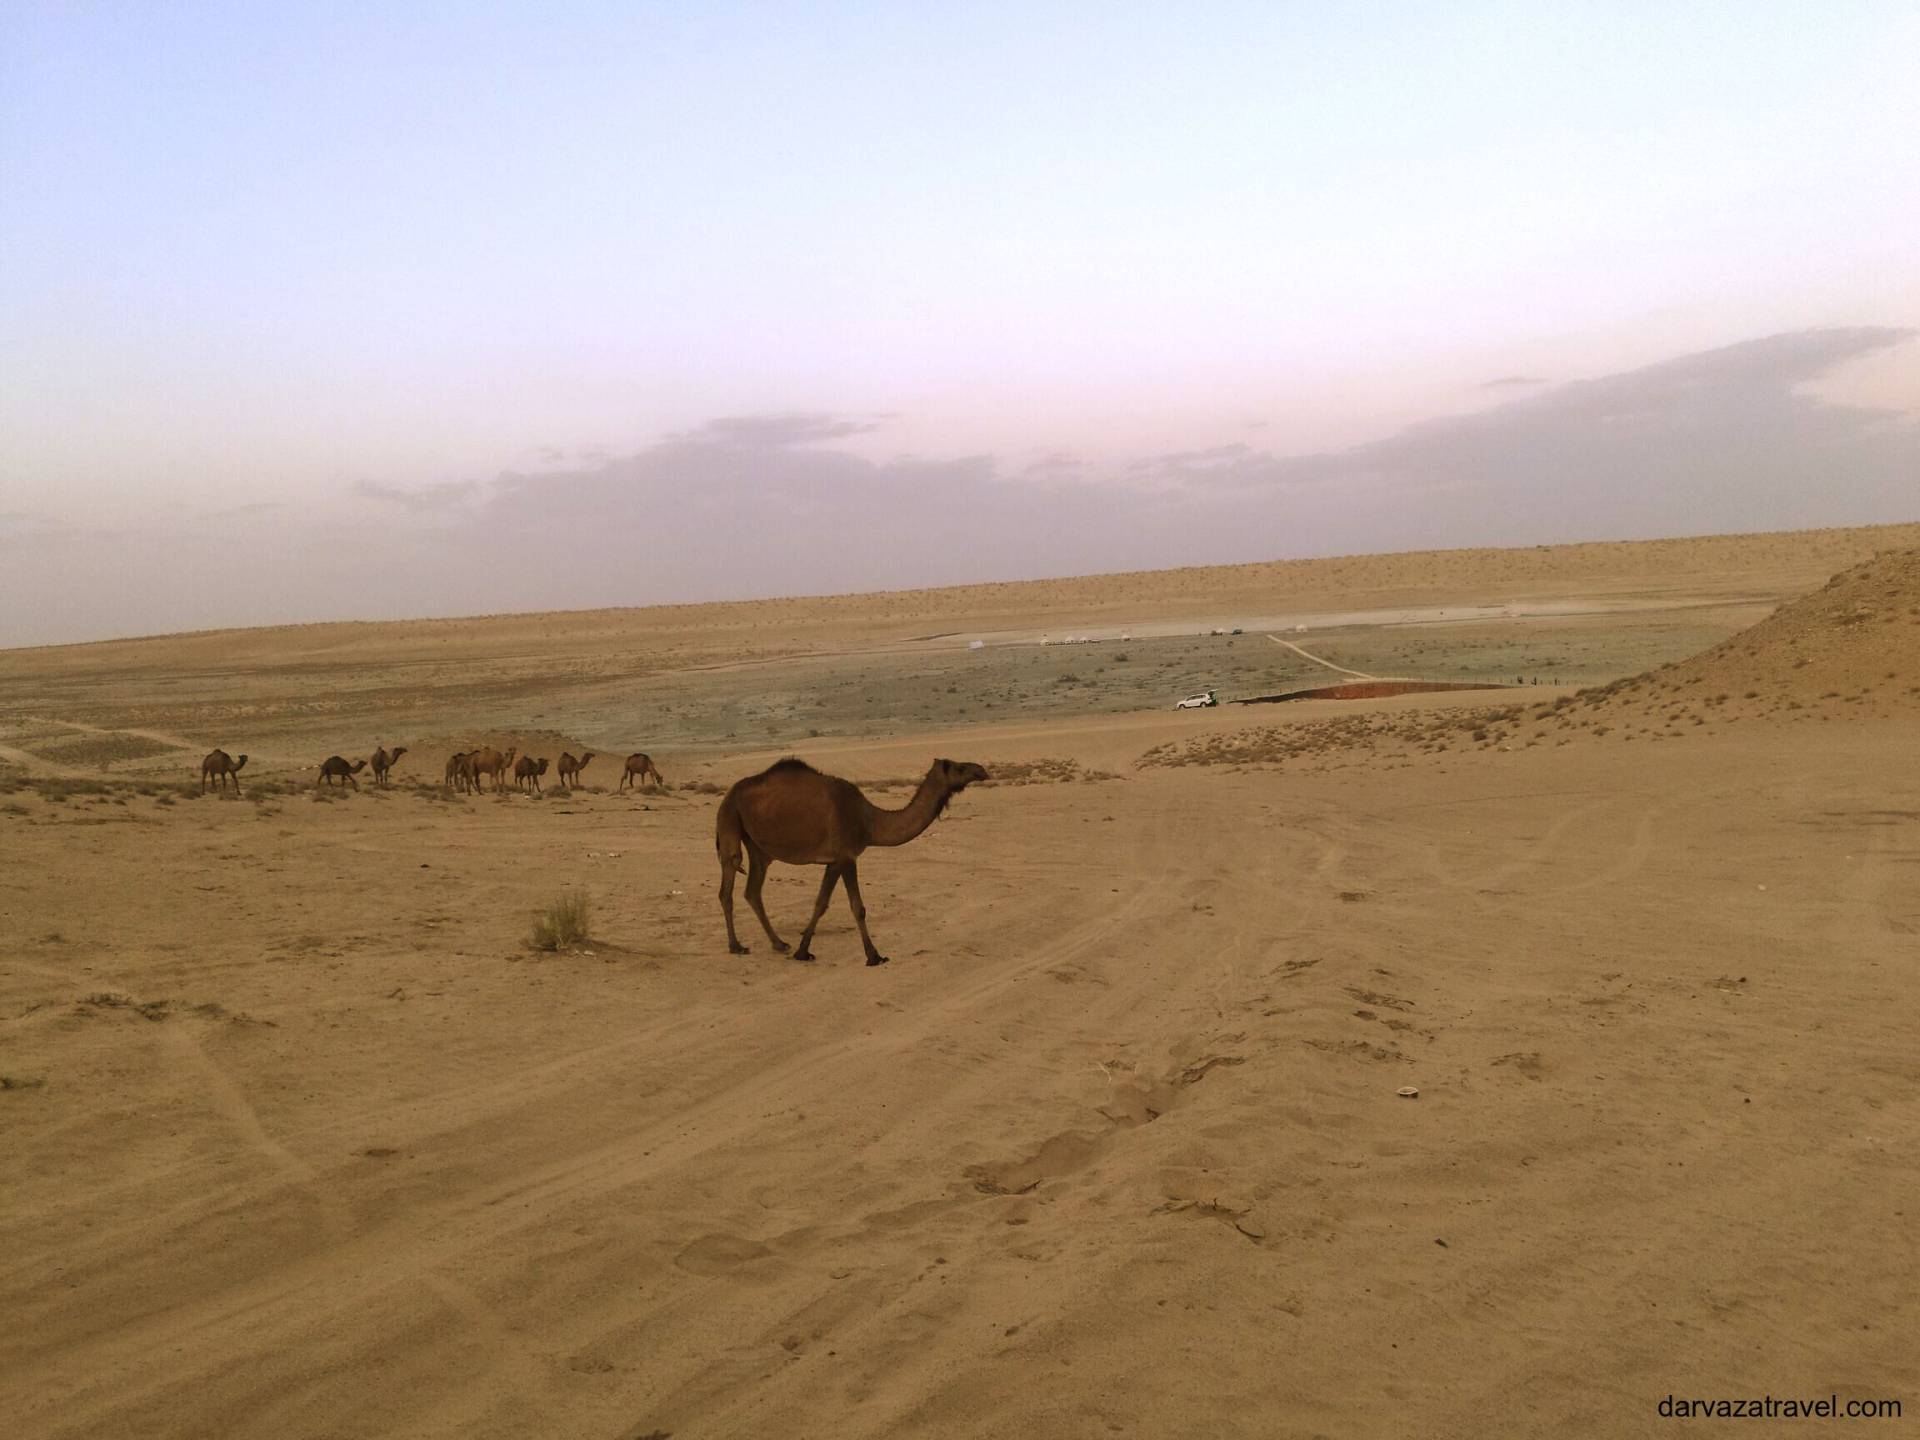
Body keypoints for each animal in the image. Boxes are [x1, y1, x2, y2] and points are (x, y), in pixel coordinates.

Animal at [715, 756, 988, 965]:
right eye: (959, 767)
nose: (981, 770)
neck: (868, 820)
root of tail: (731, 792)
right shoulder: (847, 857)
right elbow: (857, 907)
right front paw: (874, 956)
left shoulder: (834, 861)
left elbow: (821, 903)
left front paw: (802, 951)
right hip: (729, 818)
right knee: (728, 882)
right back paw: (736, 945)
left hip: (759, 847)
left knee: (753, 890)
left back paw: (779, 943)